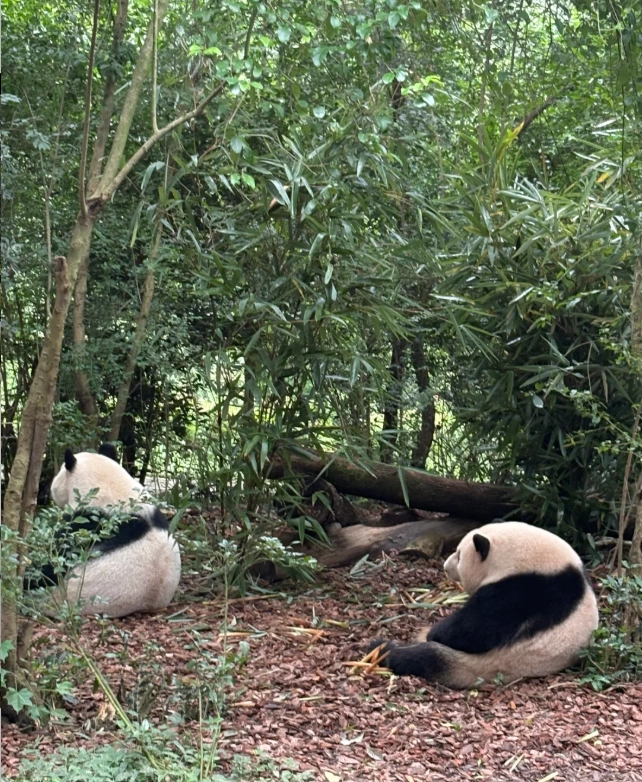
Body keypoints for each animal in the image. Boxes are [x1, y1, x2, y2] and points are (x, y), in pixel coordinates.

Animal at [368, 521, 599, 688]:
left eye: (459, 555)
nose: (445, 566)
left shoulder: (526, 588)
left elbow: (475, 630)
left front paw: (434, 632)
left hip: (487, 662)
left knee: (424, 658)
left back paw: (382, 648)